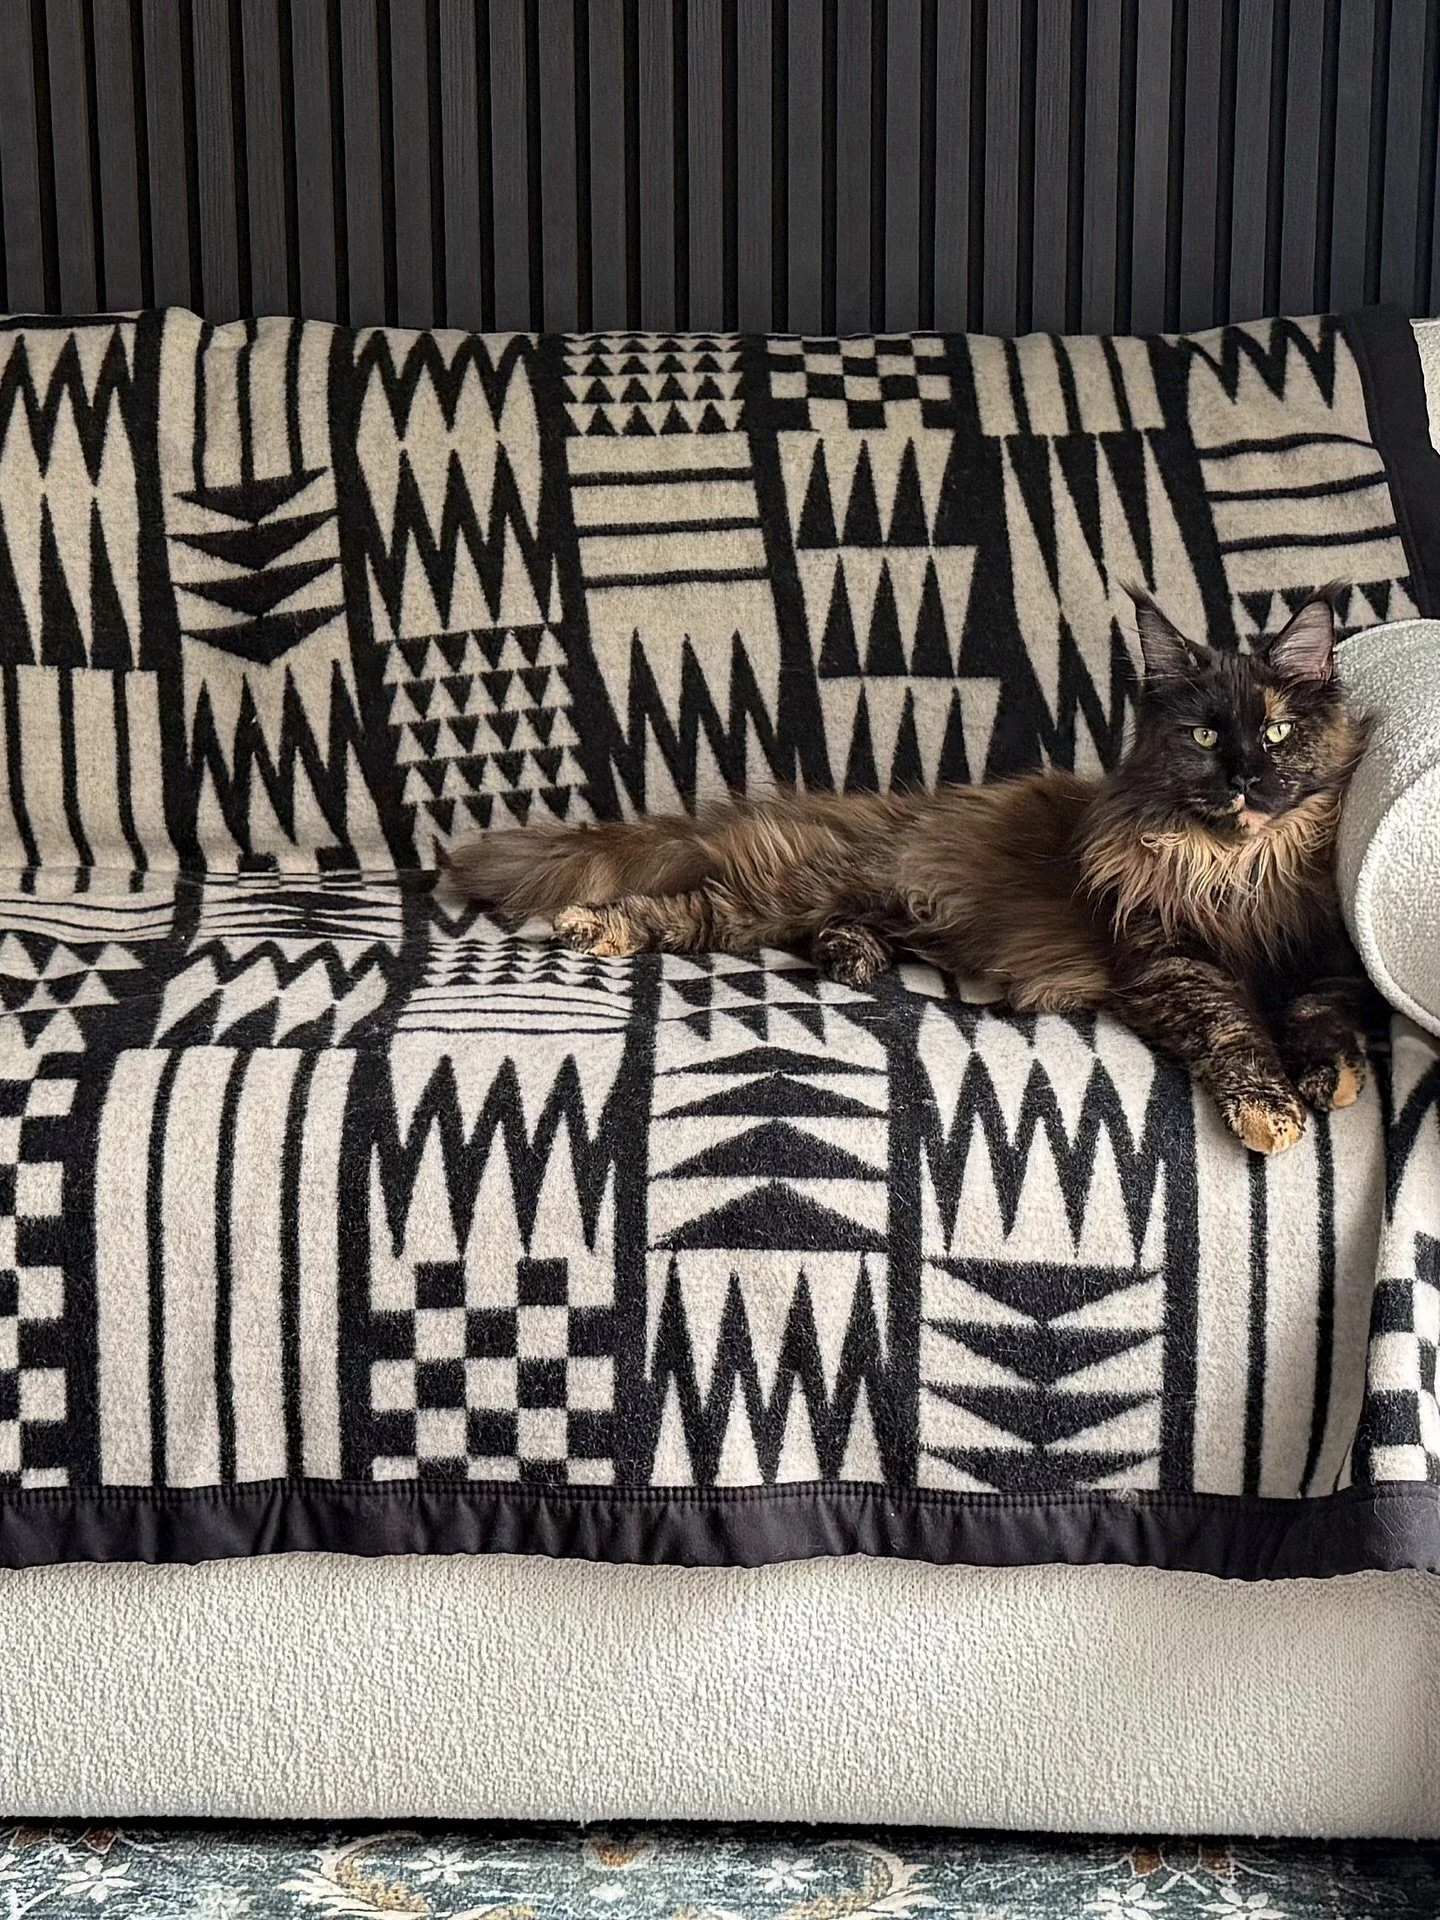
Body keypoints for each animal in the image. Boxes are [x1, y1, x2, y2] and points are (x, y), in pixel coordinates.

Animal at [444, 587, 1371, 1157]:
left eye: (1278, 733)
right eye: (1206, 737)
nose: (1244, 778)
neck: (1240, 868)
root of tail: (865, 814)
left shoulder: (1325, 959)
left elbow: (1321, 1015)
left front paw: (1331, 1076)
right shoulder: (1171, 961)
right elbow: (1236, 1028)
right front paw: (1272, 1108)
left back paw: (852, 956)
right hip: (783, 892)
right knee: (689, 911)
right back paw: (593, 925)